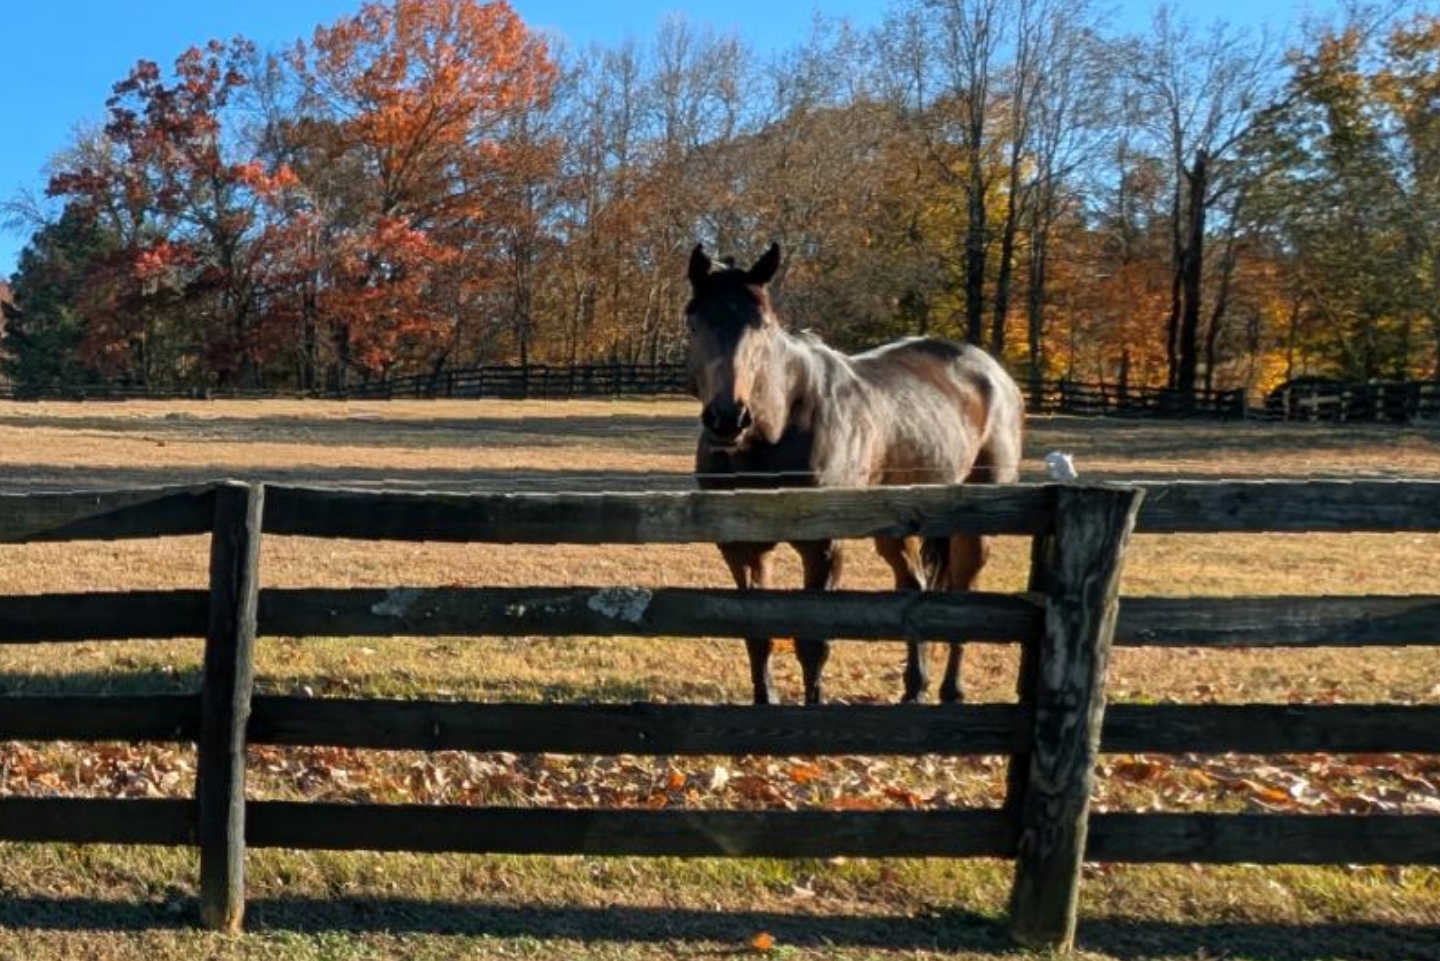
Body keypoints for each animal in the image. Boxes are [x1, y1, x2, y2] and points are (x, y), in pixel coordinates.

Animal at [685, 241, 1024, 706]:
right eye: (694, 323)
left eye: (763, 326)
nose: (727, 419)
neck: (777, 427)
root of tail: (993, 373)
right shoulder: (740, 548)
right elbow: (757, 634)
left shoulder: (824, 547)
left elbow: (814, 642)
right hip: (897, 528)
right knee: (914, 588)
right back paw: (914, 689)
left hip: (974, 526)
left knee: (964, 597)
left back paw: (951, 691)